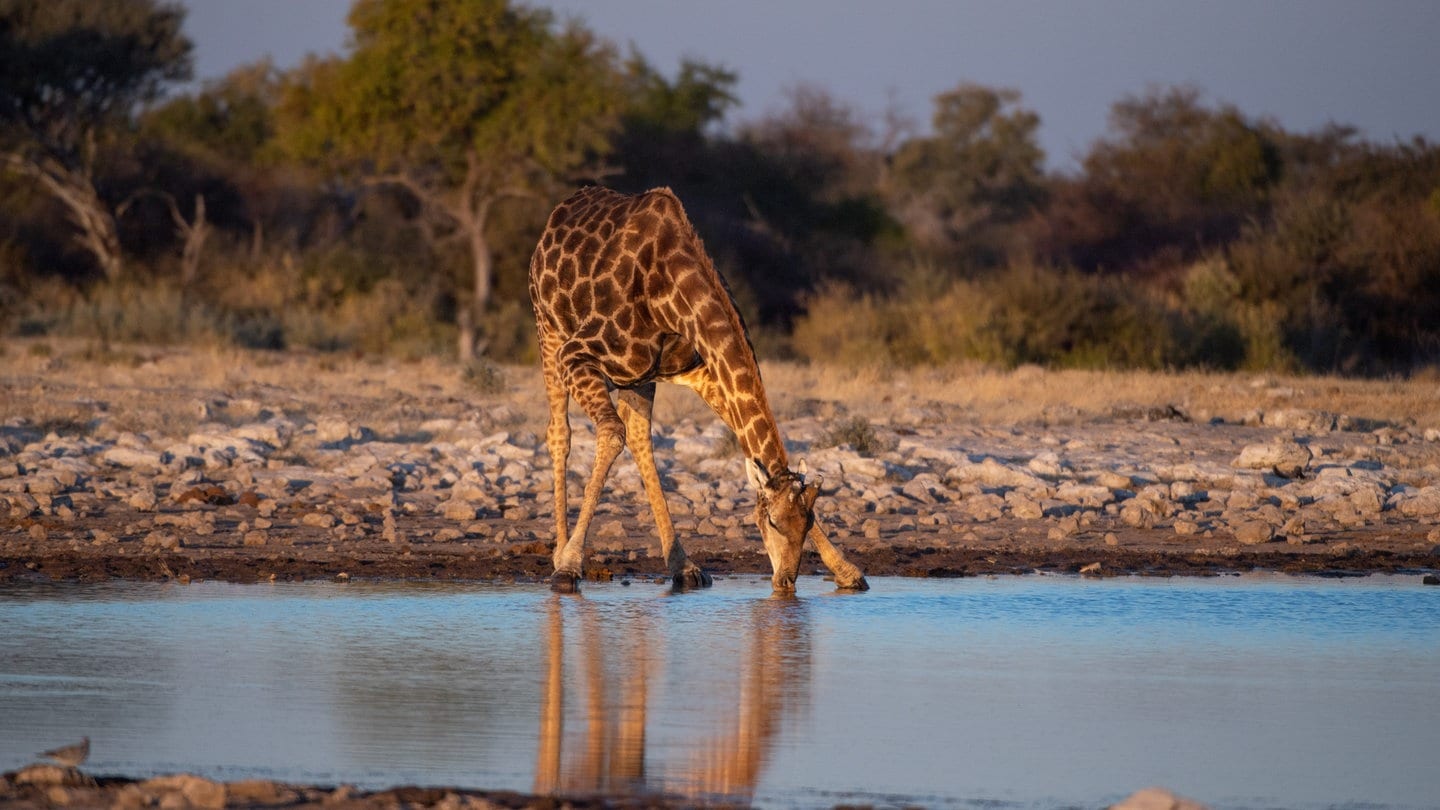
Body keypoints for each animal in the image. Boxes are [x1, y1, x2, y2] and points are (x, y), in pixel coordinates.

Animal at [529, 185, 864, 590]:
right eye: (770, 521)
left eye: (809, 522)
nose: (786, 581)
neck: (670, 295)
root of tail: (557, 215)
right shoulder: (575, 354)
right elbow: (610, 435)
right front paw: (568, 566)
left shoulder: (701, 369)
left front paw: (848, 571)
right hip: (548, 331)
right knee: (560, 432)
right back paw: (559, 553)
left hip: (639, 377)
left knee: (640, 437)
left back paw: (683, 565)